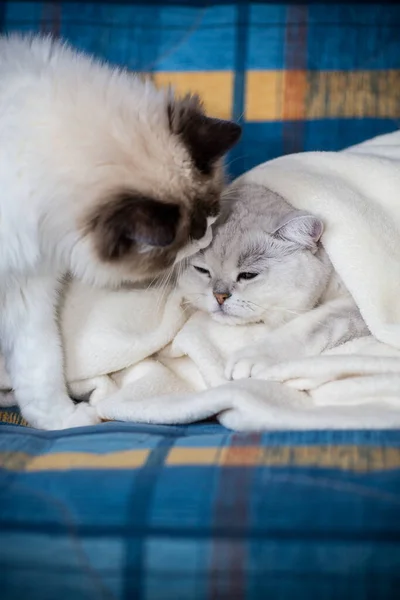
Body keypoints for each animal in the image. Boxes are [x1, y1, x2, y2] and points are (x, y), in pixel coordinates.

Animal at [0, 35, 241, 428]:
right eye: (189, 236)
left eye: (210, 215)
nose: (206, 237)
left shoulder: (27, 288)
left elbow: (42, 369)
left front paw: (66, 421)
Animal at [179, 182, 368, 380]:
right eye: (202, 270)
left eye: (248, 275)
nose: (219, 296)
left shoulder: (353, 307)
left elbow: (308, 326)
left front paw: (248, 359)